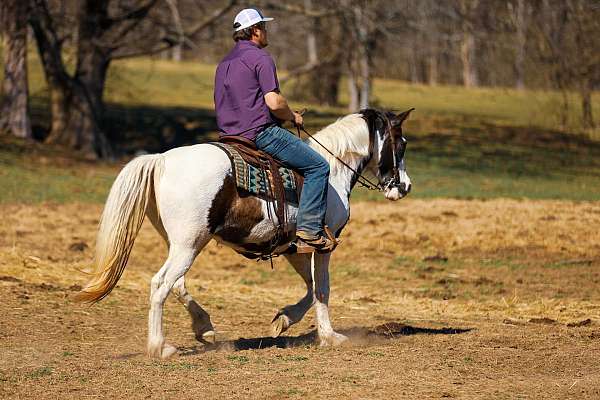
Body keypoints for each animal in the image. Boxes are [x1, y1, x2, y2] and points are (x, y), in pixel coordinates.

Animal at [75, 108, 412, 358]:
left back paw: (205, 328)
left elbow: (310, 287)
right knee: (161, 284)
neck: (333, 170)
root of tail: (161, 160)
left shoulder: (295, 248)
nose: (405, 187)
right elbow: (322, 290)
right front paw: (330, 336)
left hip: (182, 243)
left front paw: (283, 320)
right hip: (188, 244)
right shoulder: (323, 245)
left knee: (177, 284)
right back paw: (160, 347)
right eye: (401, 144)